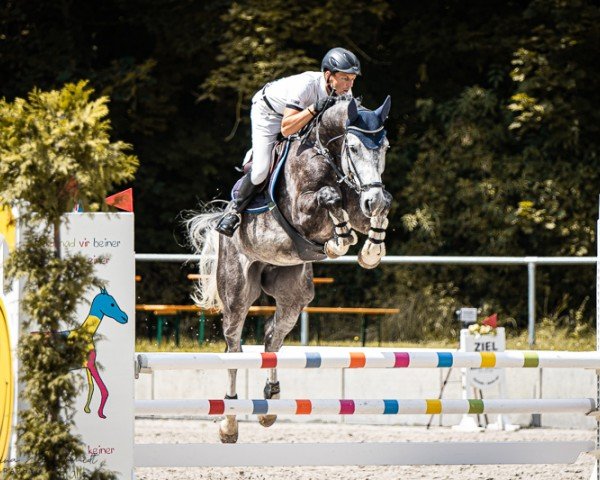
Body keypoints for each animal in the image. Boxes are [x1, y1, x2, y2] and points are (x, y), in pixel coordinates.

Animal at [189, 94, 394, 442]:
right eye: (353, 148)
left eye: (385, 147)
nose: (373, 198)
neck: (329, 155)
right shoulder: (302, 210)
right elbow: (329, 197)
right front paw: (340, 241)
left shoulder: (361, 203)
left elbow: (377, 209)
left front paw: (370, 250)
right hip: (237, 293)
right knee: (233, 346)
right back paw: (229, 420)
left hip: (293, 294)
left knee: (273, 337)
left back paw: (269, 402)